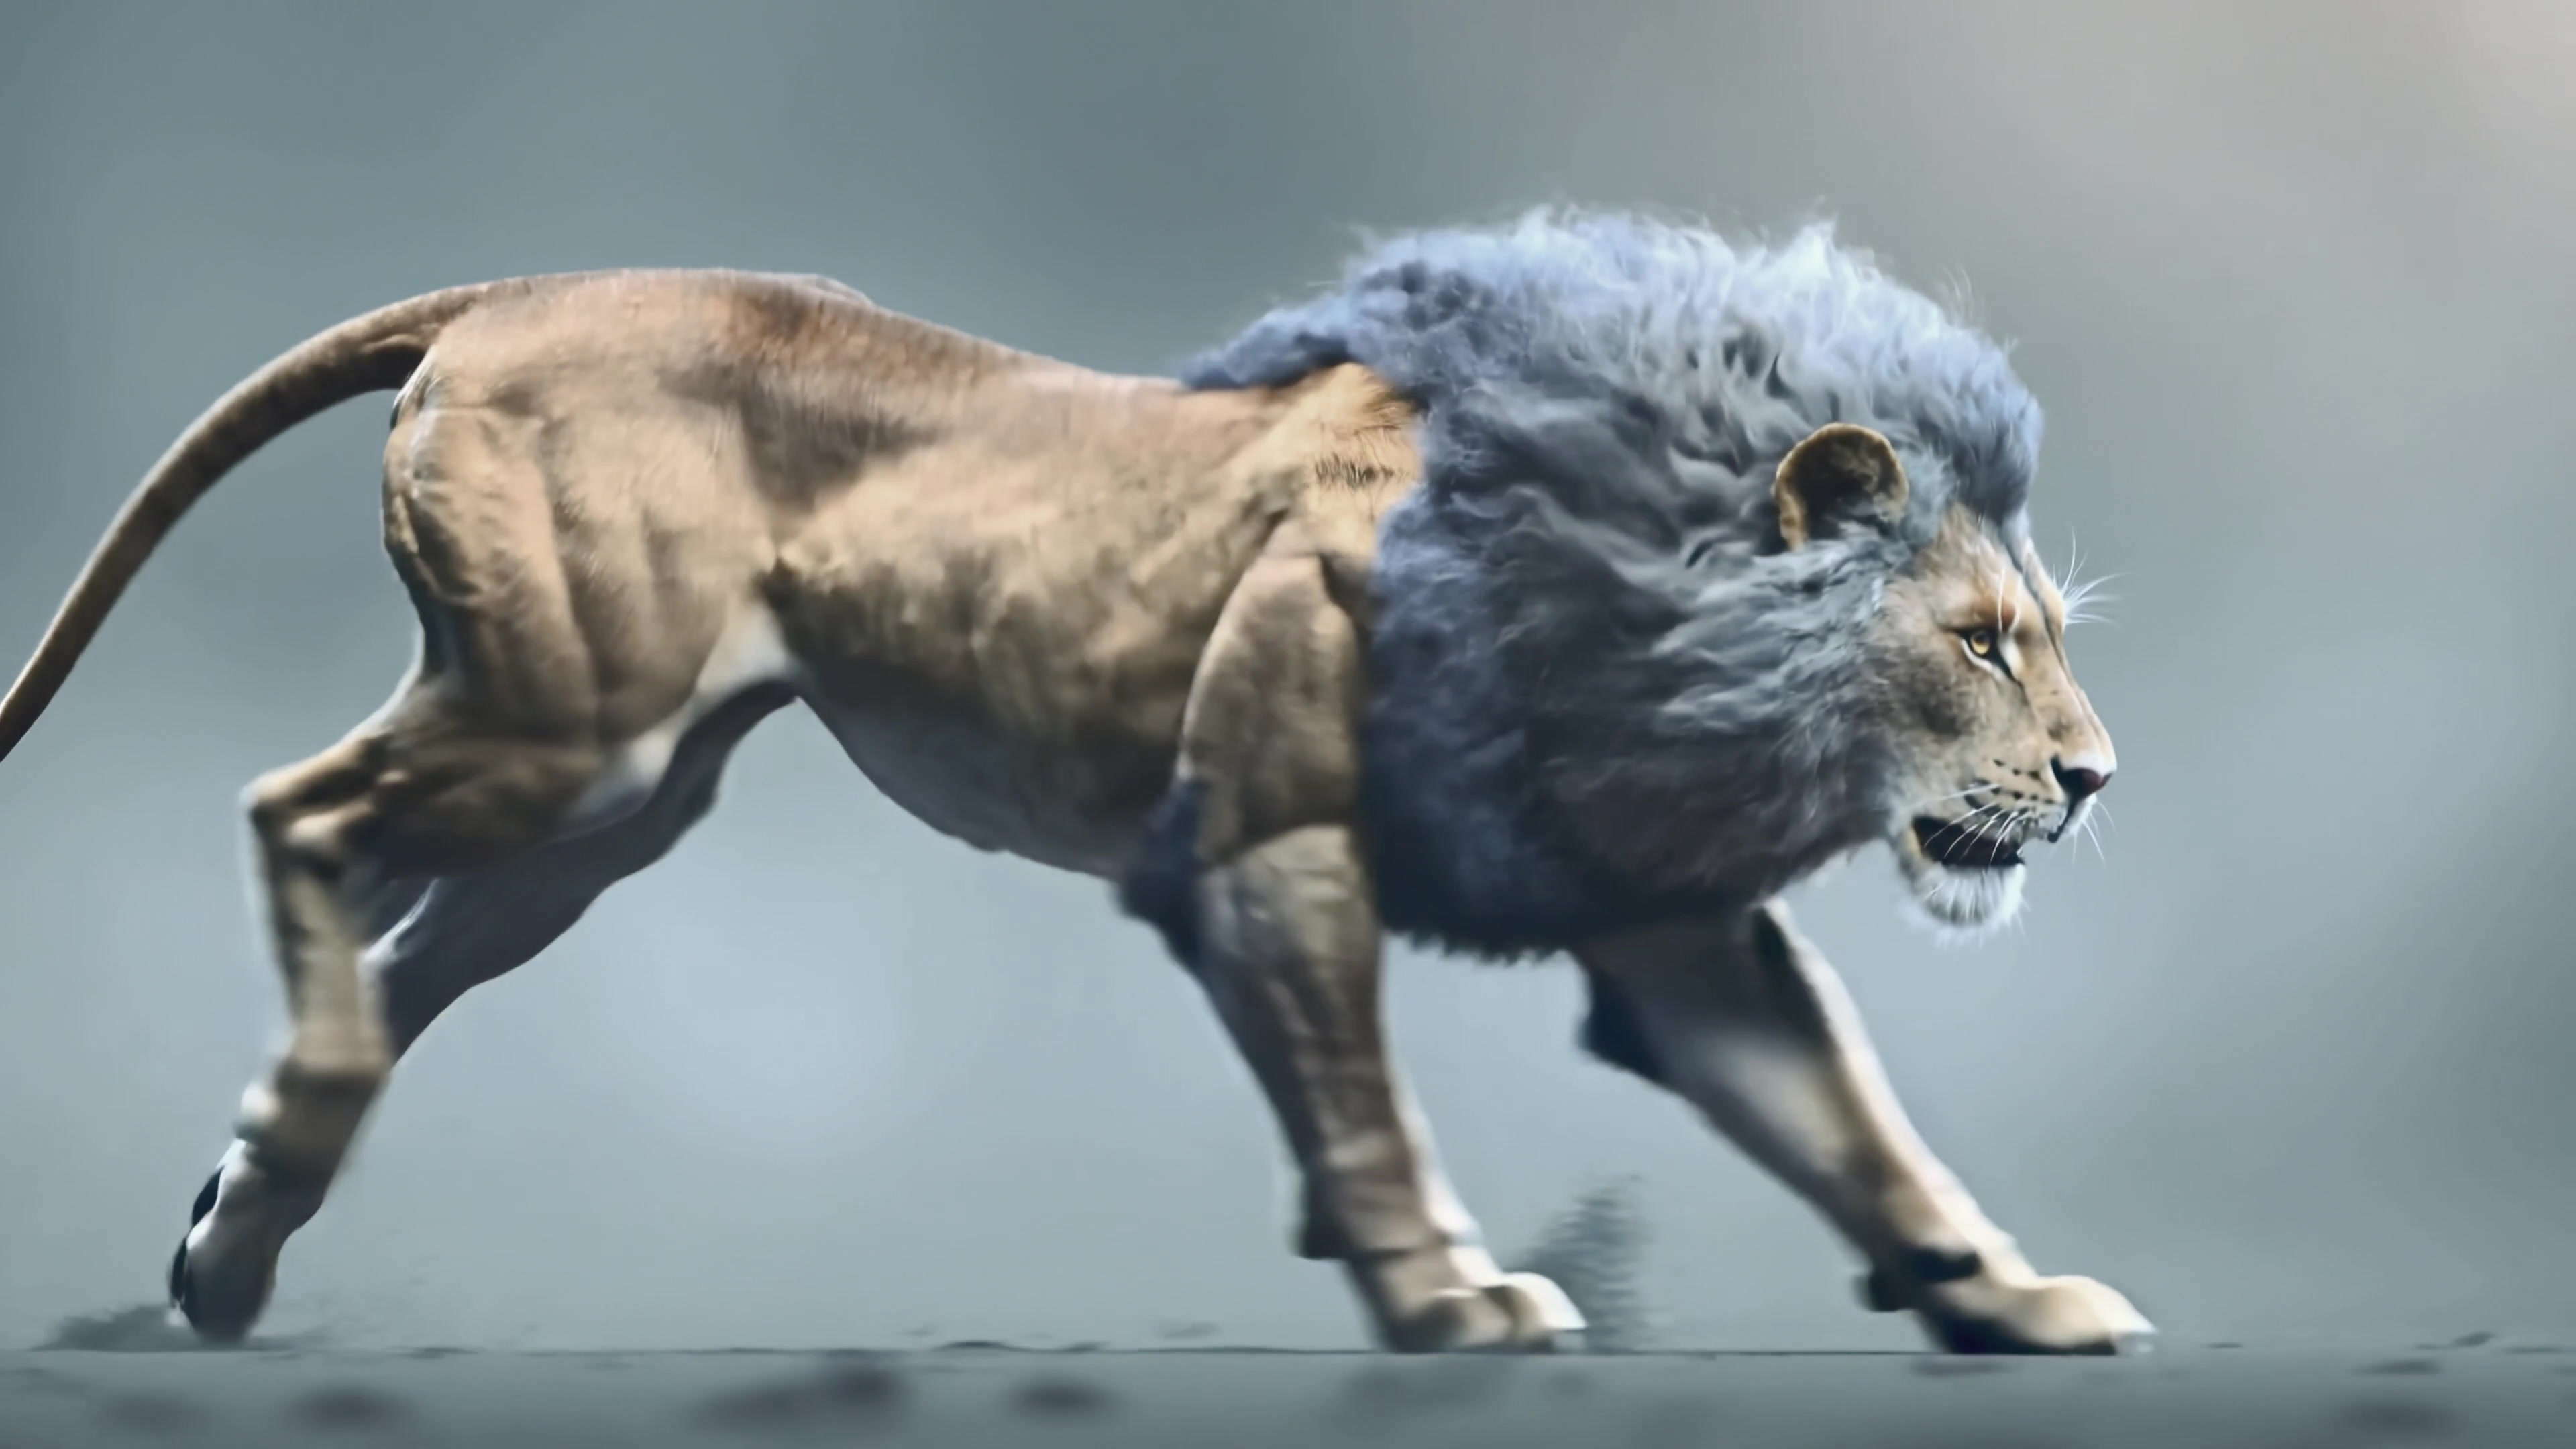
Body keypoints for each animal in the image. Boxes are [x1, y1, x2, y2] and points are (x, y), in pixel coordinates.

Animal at [0, 210, 2149, 1356]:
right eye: (1979, 641)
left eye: (2040, 629)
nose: (2099, 780)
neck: (1647, 567)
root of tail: (503, 294)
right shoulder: (1272, 843)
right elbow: (1368, 1110)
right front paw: (1451, 1301)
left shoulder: (1662, 915)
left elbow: (1856, 1127)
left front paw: (2015, 1301)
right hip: (572, 723)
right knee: (293, 814)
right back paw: (272, 1167)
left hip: (608, 804)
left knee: (386, 915)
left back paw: (231, 1227)